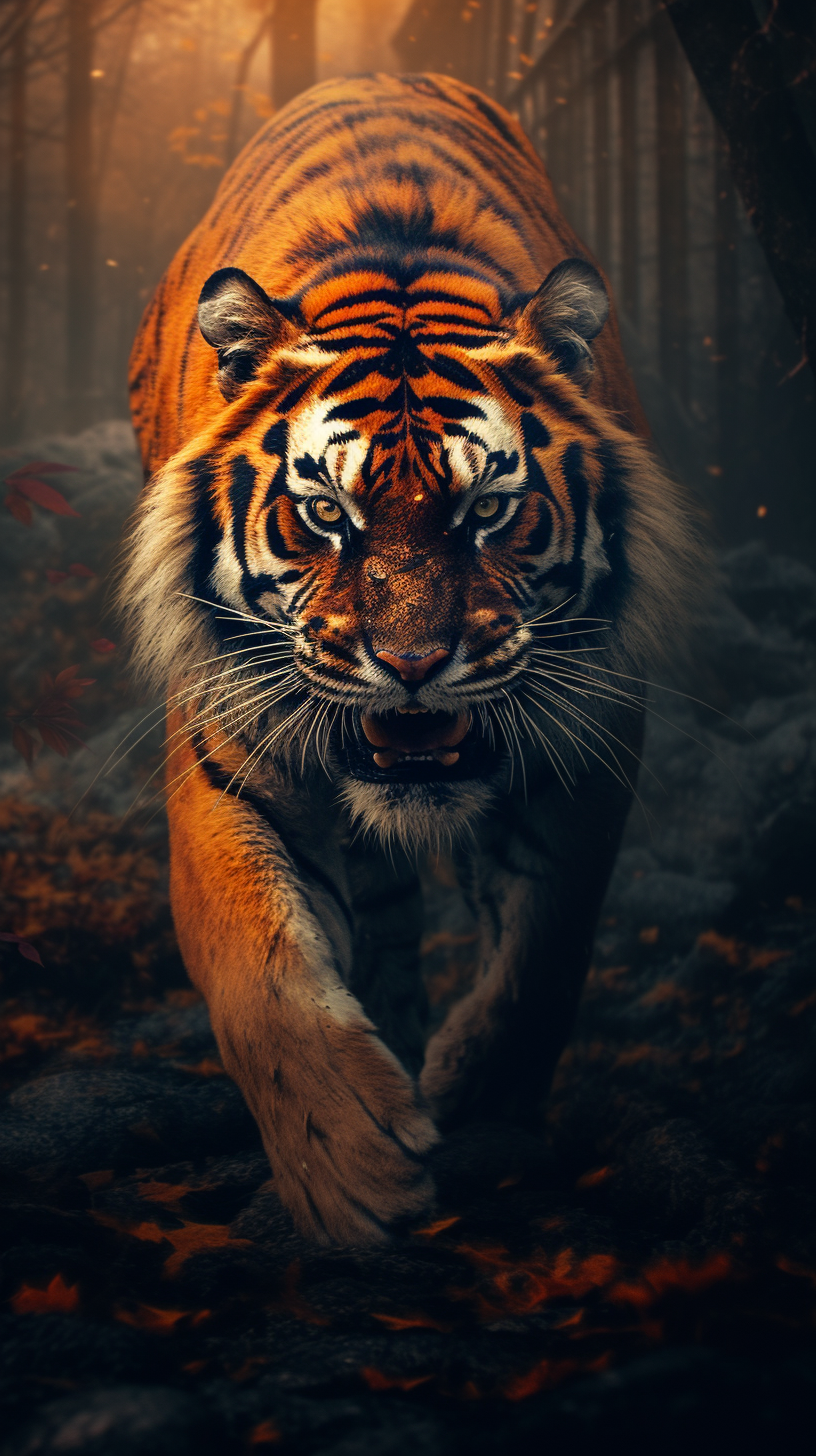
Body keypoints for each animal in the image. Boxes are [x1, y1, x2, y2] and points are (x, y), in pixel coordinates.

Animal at [122, 72, 702, 1246]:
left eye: (487, 511)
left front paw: (479, 1105)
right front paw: (349, 1171)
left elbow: (541, 955)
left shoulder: (591, 736)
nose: (413, 662)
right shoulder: (224, 747)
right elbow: (258, 966)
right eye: (326, 516)